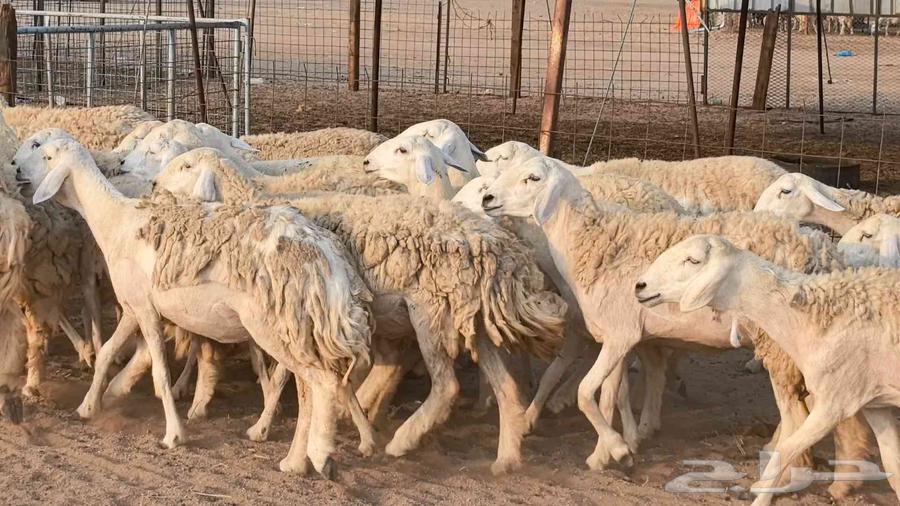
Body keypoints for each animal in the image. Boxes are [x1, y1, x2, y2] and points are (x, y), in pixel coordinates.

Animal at [16, 137, 375, 478]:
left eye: (46, 155)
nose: (16, 171)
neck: (115, 219)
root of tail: (328, 261)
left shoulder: (146, 311)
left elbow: (160, 373)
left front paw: (174, 434)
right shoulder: (133, 307)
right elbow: (105, 353)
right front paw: (89, 407)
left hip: (272, 325)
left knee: (323, 382)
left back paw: (321, 455)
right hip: (295, 327)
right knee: (308, 388)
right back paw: (295, 461)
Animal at [152, 147, 569, 475]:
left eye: (186, 166)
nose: (154, 186)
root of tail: (503, 253)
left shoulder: (294, 310)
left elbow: (287, 375)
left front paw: (265, 425)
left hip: (430, 310)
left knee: (446, 385)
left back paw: (402, 439)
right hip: (470, 319)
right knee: (507, 390)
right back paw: (506, 459)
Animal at [481, 158, 869, 485]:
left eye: (533, 178)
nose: (487, 198)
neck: (592, 241)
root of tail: (826, 252)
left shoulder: (620, 334)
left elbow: (585, 393)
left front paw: (618, 449)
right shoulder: (619, 335)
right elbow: (608, 395)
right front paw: (607, 453)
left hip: (779, 347)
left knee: (796, 416)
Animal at [635, 235, 900, 506]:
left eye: (693, 260)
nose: (640, 286)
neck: (814, 316)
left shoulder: (834, 403)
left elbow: (785, 451)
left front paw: (761, 498)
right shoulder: (876, 404)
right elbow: (894, 469)